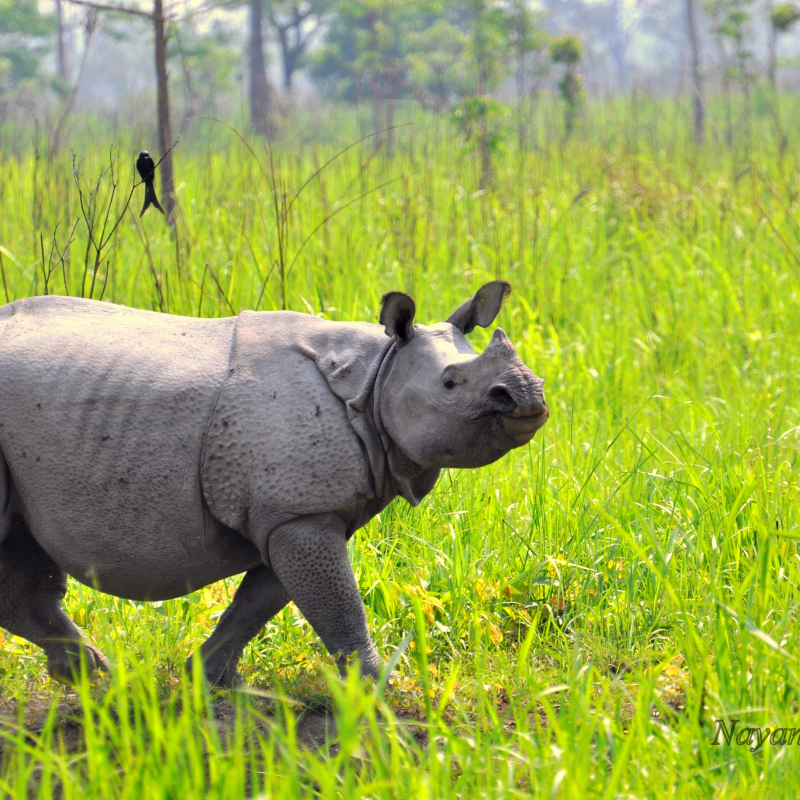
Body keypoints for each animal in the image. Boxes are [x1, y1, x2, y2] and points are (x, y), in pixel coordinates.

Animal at [0, 281, 547, 687]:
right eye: (451, 383)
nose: (528, 395)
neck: (379, 374)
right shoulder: (297, 511)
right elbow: (339, 609)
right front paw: (381, 691)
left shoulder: (295, 512)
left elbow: (257, 605)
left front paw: (210, 684)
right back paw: (96, 679)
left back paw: (93, 678)